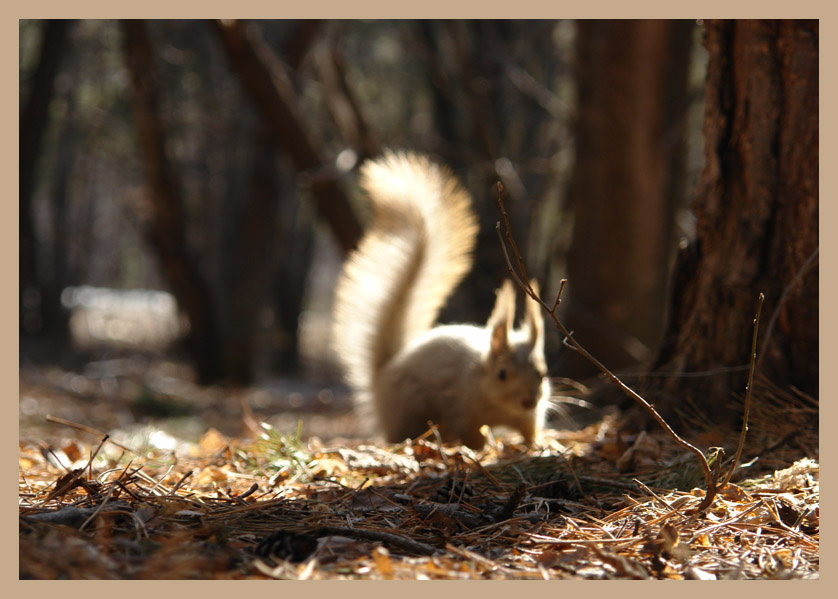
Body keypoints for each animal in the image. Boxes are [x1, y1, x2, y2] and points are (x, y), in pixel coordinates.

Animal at [332, 151, 550, 449]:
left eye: (543, 373)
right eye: (502, 374)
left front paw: (538, 445)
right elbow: (472, 435)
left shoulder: (530, 417)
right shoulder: (462, 408)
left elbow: (530, 431)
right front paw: (486, 447)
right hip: (409, 410)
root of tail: (383, 373)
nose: (529, 401)